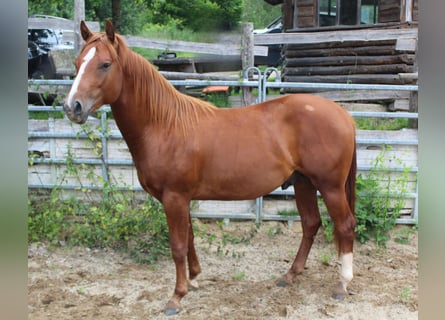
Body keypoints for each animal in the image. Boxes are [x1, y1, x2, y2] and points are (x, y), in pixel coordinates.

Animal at [64, 20, 358, 316]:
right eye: (77, 62)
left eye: (105, 64)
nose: (72, 107)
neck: (164, 125)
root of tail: (343, 115)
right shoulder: (182, 199)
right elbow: (190, 238)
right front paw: (194, 279)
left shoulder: (174, 197)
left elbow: (178, 245)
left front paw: (176, 297)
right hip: (303, 182)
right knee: (311, 223)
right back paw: (290, 275)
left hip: (330, 187)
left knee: (345, 225)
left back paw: (342, 284)